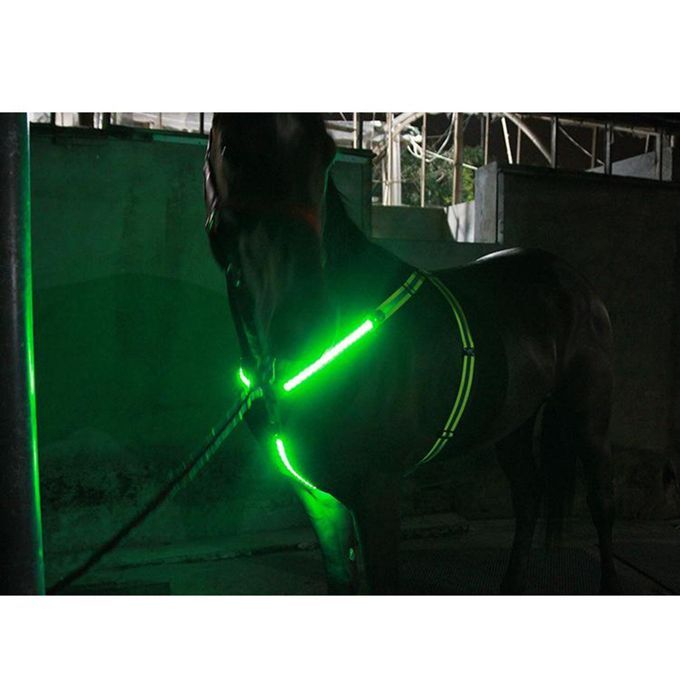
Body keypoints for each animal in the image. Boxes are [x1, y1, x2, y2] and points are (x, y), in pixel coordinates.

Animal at [203, 113, 622, 595]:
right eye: (230, 148)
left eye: (327, 155)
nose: (302, 320)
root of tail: (574, 281)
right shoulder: (318, 497)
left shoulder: (376, 492)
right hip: (512, 421)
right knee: (529, 495)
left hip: (587, 418)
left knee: (601, 505)